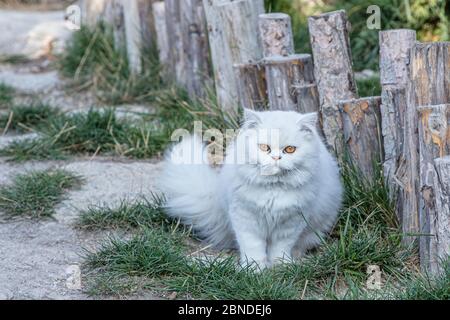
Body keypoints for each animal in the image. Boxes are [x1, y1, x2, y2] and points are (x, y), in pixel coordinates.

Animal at [160, 109, 342, 268]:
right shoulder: (245, 218)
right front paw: (254, 269)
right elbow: (253, 247)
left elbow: (280, 249)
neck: (273, 189)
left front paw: (280, 266)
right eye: (265, 148)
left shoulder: (291, 222)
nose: (276, 158)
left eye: (290, 149)